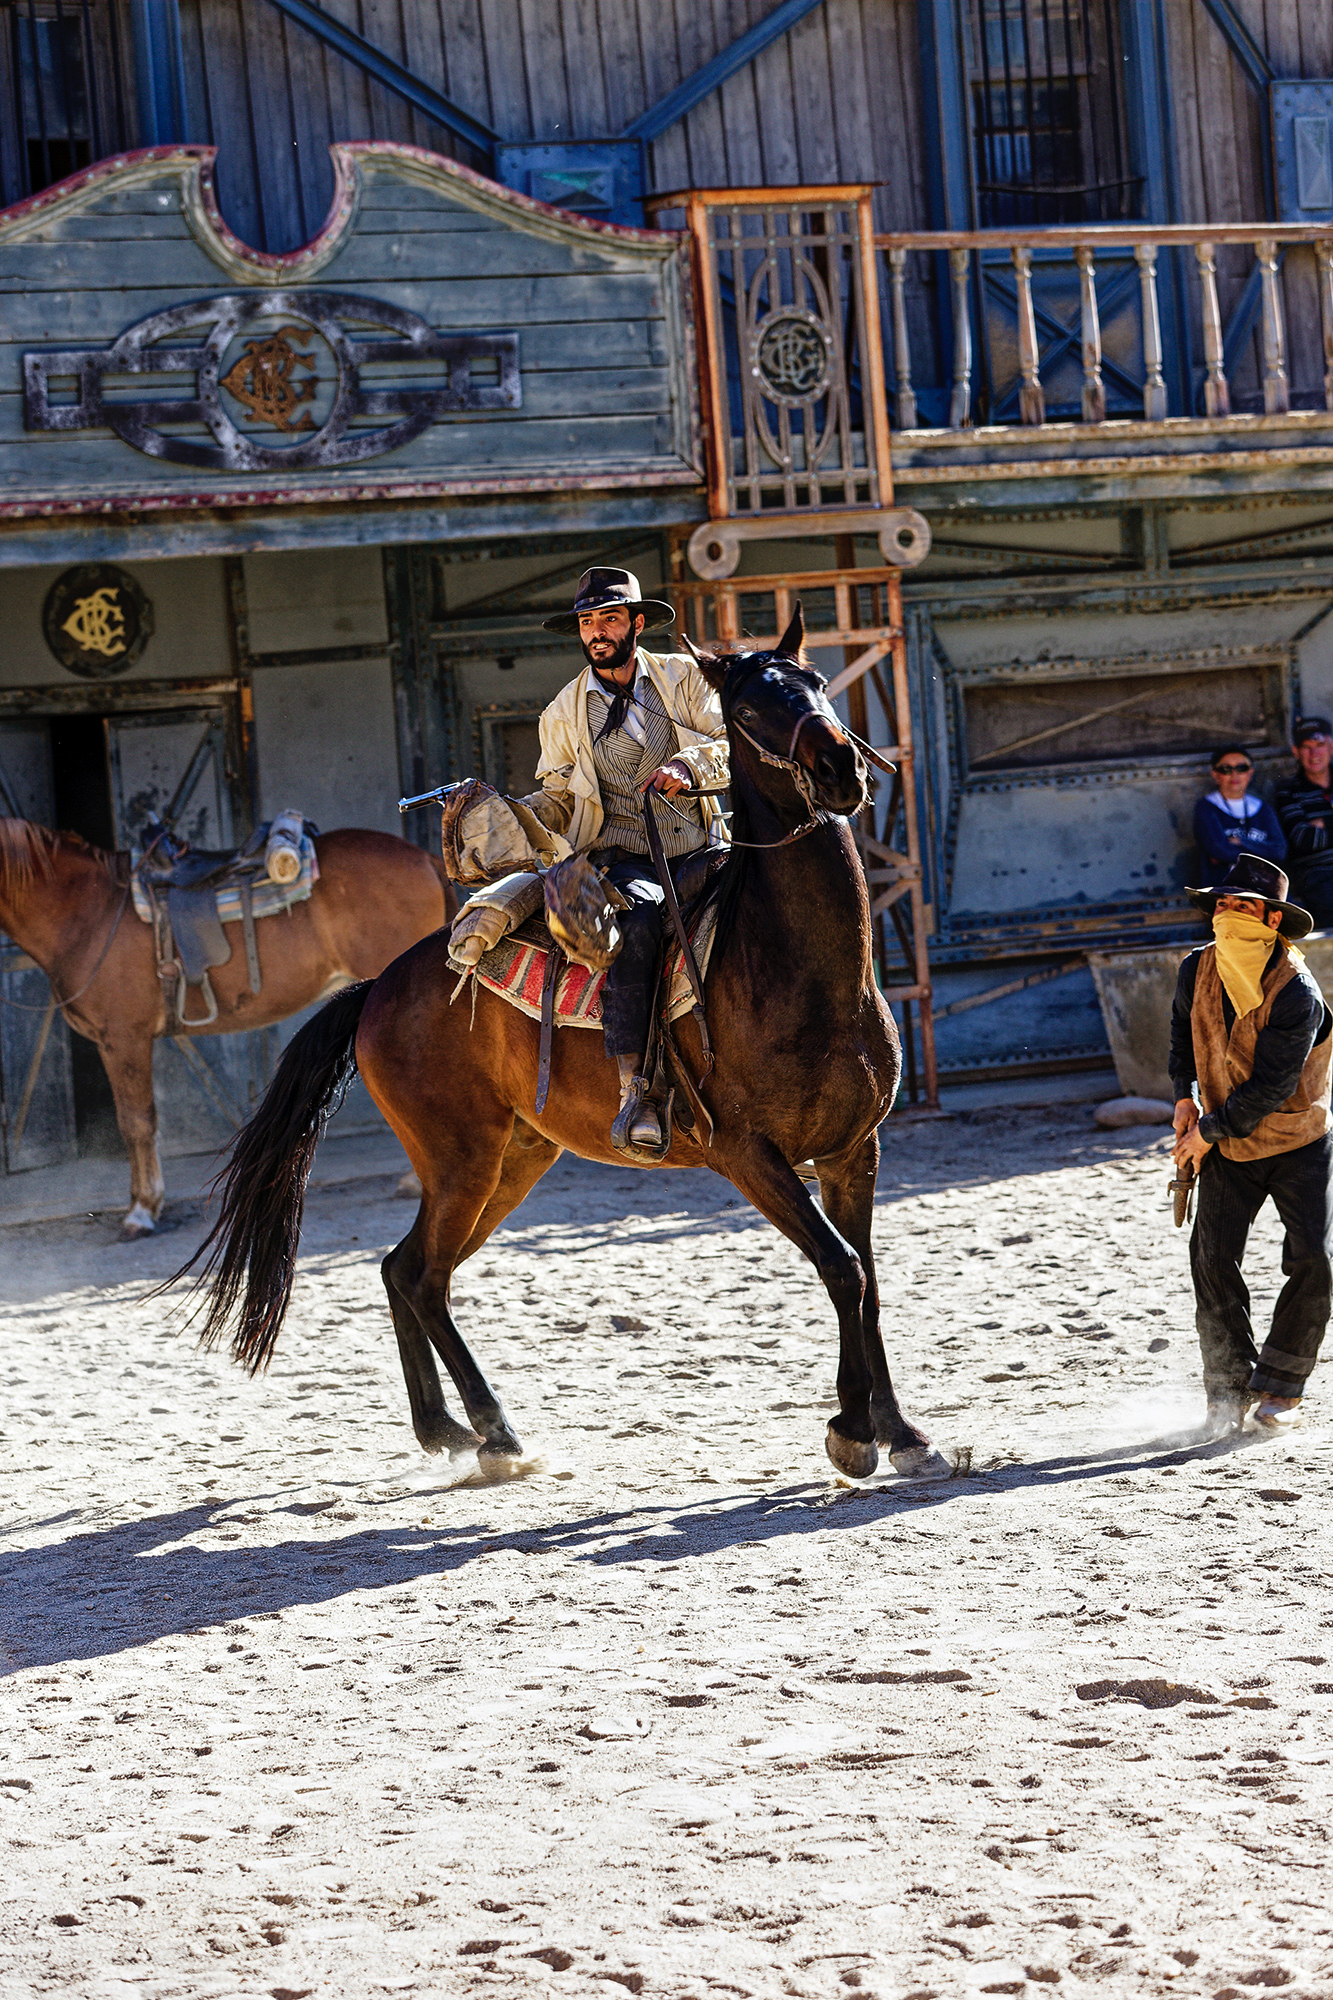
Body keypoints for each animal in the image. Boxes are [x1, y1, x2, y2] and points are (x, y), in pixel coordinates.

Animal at [182, 612, 940, 1488]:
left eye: (817, 685)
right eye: (750, 709)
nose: (838, 767)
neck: (794, 968)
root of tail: (376, 988)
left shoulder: (854, 1150)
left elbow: (867, 1277)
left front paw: (903, 1432)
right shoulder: (748, 1155)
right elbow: (842, 1268)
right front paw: (851, 1432)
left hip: (513, 1159)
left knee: (406, 1269)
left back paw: (446, 1428)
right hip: (462, 1161)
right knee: (420, 1275)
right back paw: (495, 1433)